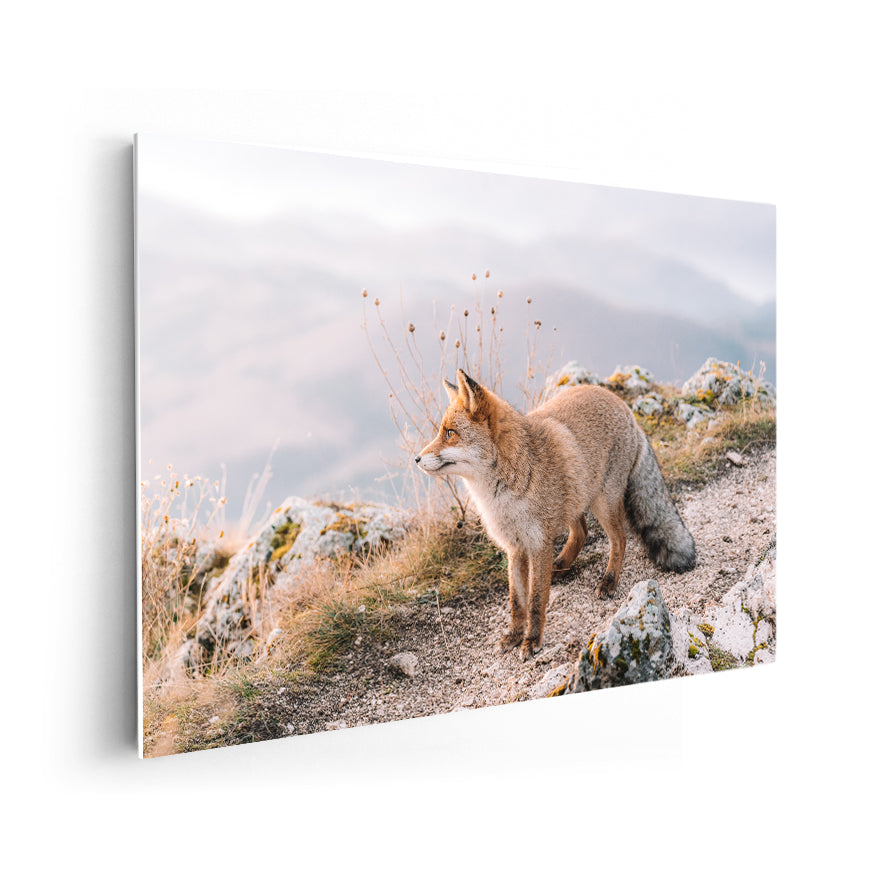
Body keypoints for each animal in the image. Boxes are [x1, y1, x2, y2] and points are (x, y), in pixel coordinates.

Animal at [416, 369, 696, 660]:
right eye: (442, 432)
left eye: (450, 433)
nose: (416, 459)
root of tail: (622, 405)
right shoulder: (515, 548)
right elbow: (517, 602)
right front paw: (514, 635)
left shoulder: (538, 544)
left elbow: (536, 600)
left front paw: (532, 641)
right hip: (575, 498)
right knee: (582, 532)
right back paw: (560, 566)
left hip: (603, 503)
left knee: (619, 539)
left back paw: (608, 581)